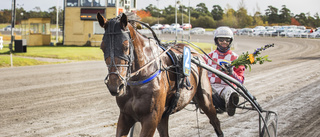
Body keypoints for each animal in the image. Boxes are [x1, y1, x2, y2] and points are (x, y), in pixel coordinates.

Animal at [96, 12, 224, 136]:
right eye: (102, 47)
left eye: (126, 46)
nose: (115, 86)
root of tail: (194, 52)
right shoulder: (125, 116)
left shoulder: (151, 118)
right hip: (163, 116)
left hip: (205, 98)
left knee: (215, 121)